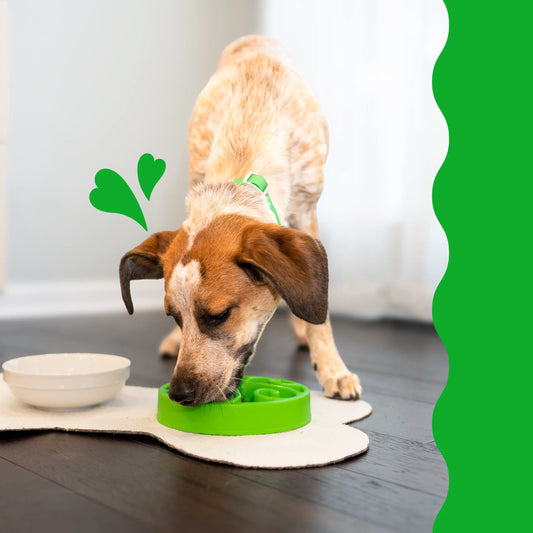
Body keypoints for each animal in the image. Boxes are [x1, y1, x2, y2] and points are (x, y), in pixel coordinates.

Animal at [119, 35, 362, 406]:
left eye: (219, 316)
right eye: (173, 315)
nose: (178, 393)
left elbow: (320, 317)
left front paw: (333, 368)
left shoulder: (306, 212)